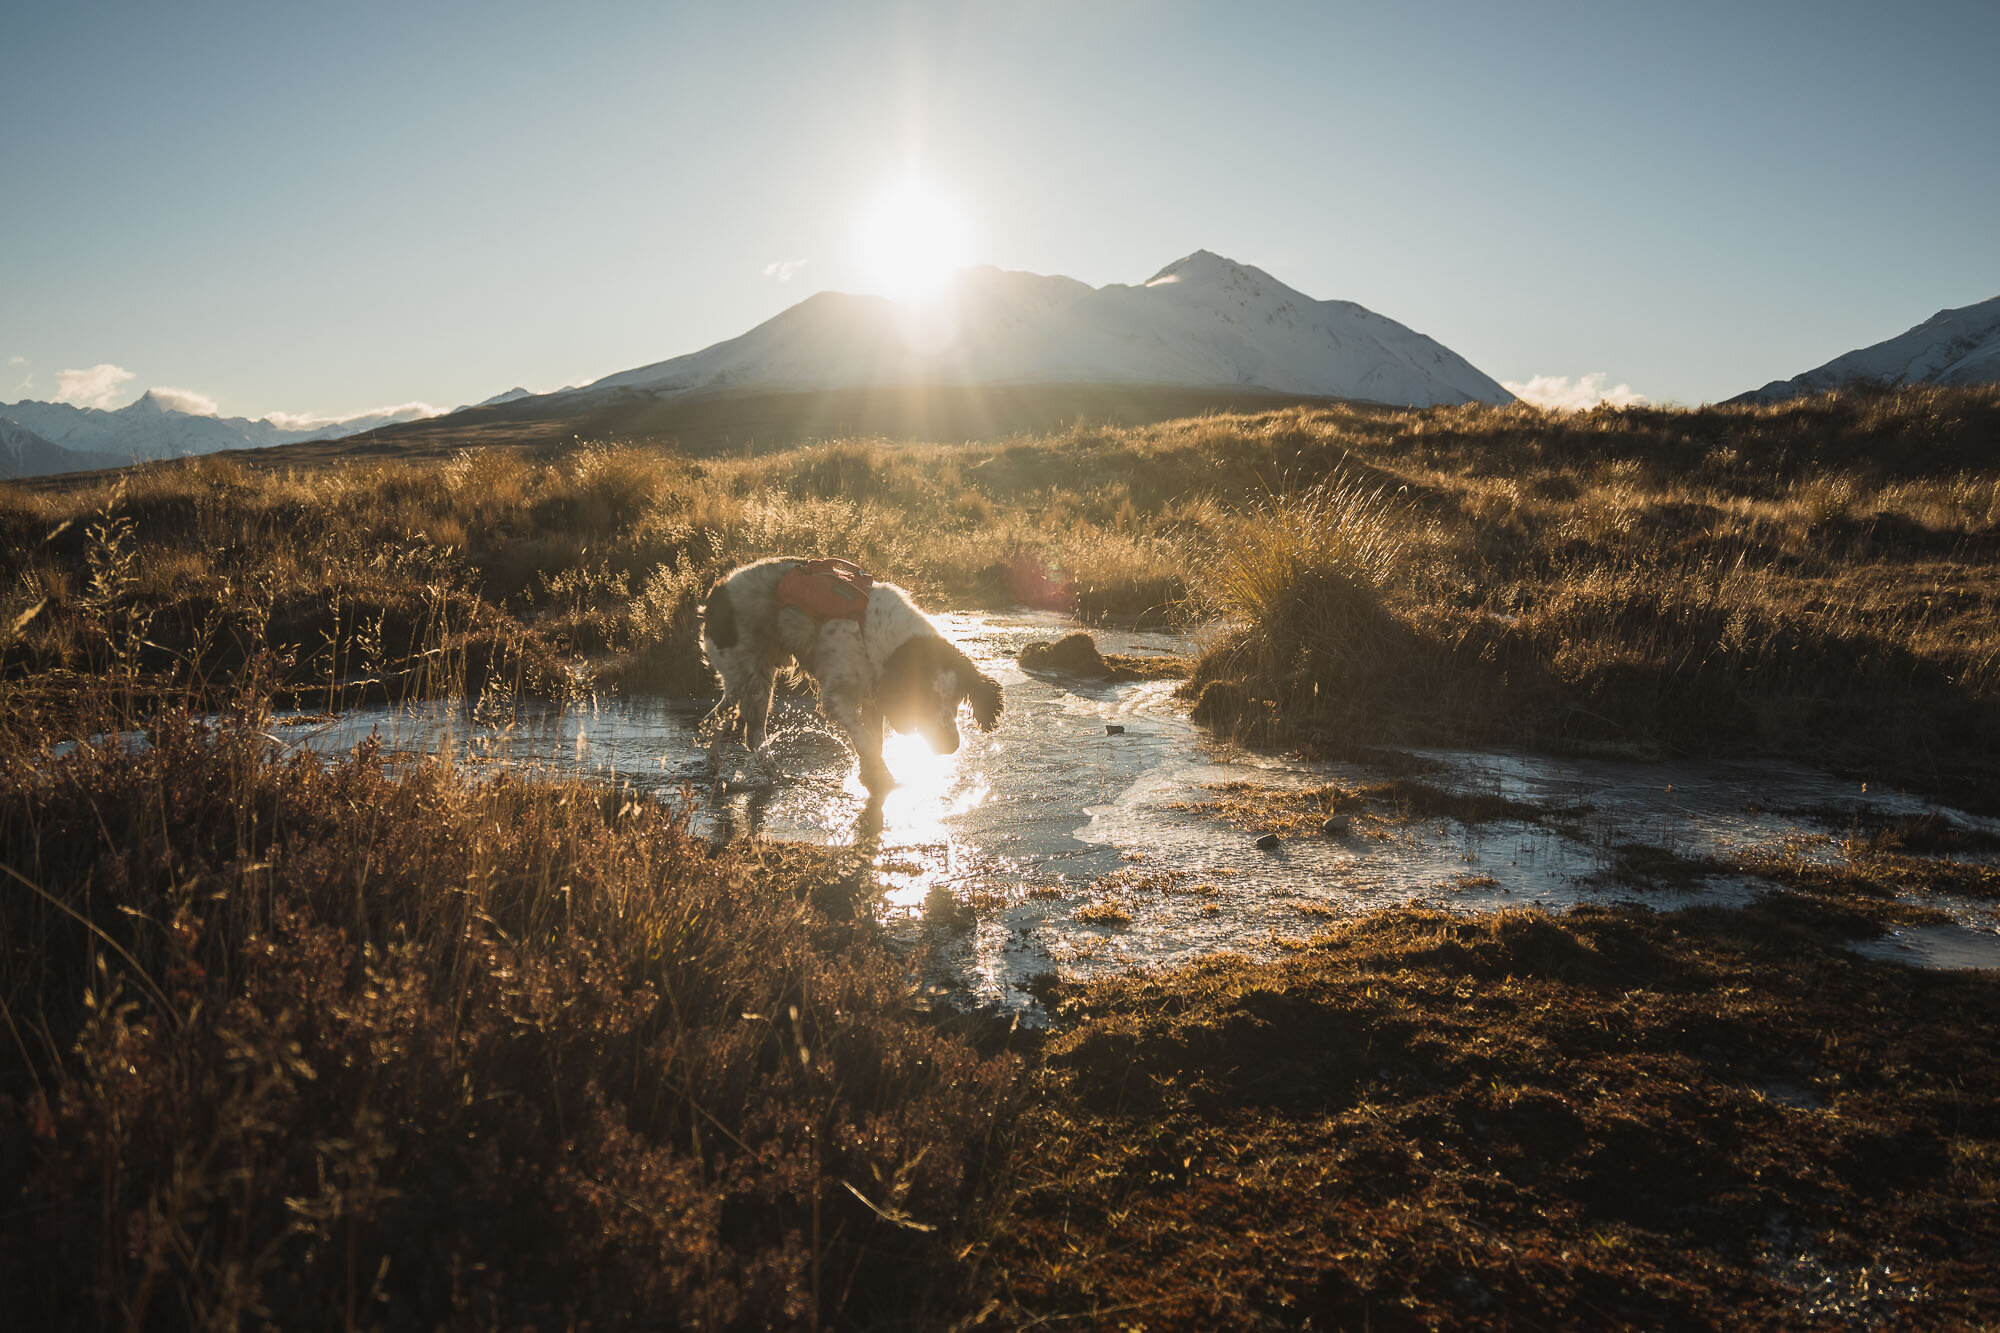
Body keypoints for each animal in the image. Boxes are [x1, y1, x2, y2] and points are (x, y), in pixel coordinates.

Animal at [700, 552, 1008, 788]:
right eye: (928, 702)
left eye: (956, 700)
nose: (951, 746)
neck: (890, 640)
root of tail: (716, 592)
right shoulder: (837, 697)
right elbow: (867, 742)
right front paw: (883, 778)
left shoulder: (875, 697)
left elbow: (875, 742)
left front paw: (872, 776)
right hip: (753, 681)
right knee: (752, 735)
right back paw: (776, 774)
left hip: (744, 683)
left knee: (714, 719)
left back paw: (715, 763)